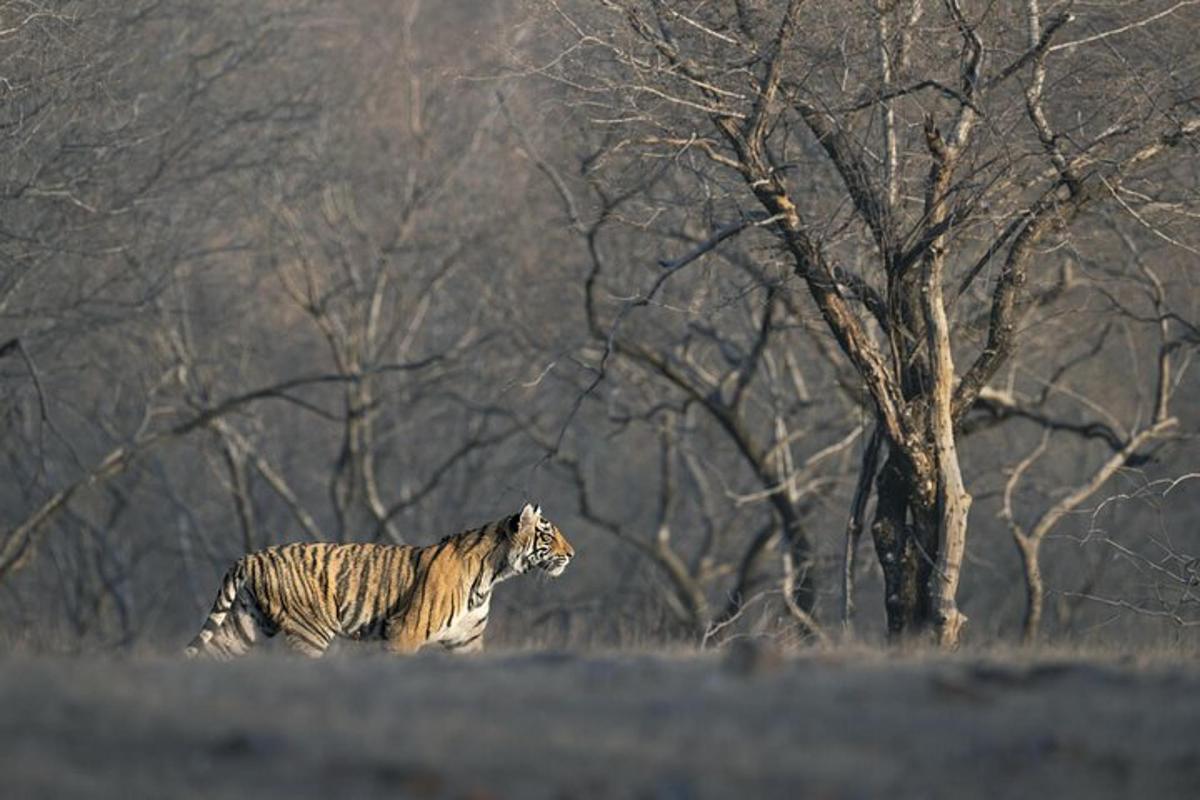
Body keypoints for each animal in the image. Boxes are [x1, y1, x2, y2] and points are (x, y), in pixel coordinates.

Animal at [184, 503, 573, 662]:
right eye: (548, 535)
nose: (572, 554)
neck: (493, 574)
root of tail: (251, 556)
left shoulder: (467, 641)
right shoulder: (405, 631)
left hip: (246, 623)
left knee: (216, 652)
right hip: (311, 630)